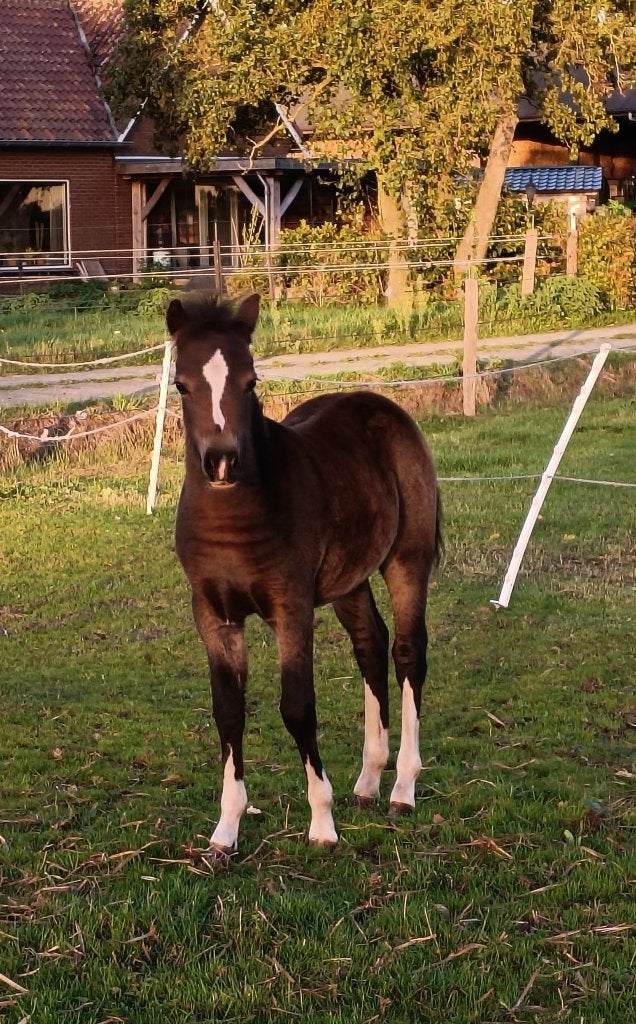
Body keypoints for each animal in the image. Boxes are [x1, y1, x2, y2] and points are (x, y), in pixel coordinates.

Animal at [168, 292, 441, 856]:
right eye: (181, 384)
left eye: (251, 381)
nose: (222, 462)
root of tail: (381, 404)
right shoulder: (214, 615)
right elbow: (228, 711)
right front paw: (225, 830)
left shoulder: (290, 609)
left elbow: (297, 707)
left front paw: (322, 822)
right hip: (348, 580)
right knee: (370, 644)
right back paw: (368, 780)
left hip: (407, 558)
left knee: (408, 651)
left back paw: (402, 787)